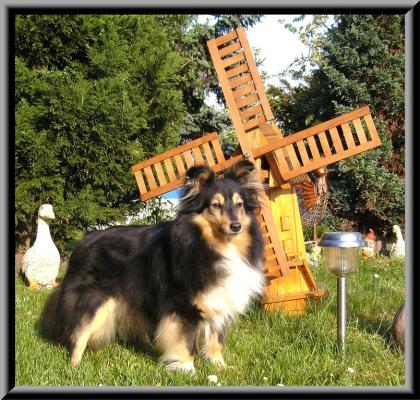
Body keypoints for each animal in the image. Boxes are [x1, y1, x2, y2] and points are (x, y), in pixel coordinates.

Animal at [41, 159, 266, 372]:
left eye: (239, 204)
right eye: (215, 205)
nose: (236, 226)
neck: (211, 244)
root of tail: (84, 240)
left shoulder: (221, 300)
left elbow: (216, 339)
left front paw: (219, 367)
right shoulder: (184, 305)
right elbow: (186, 340)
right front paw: (186, 369)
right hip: (94, 299)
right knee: (79, 333)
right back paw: (74, 367)